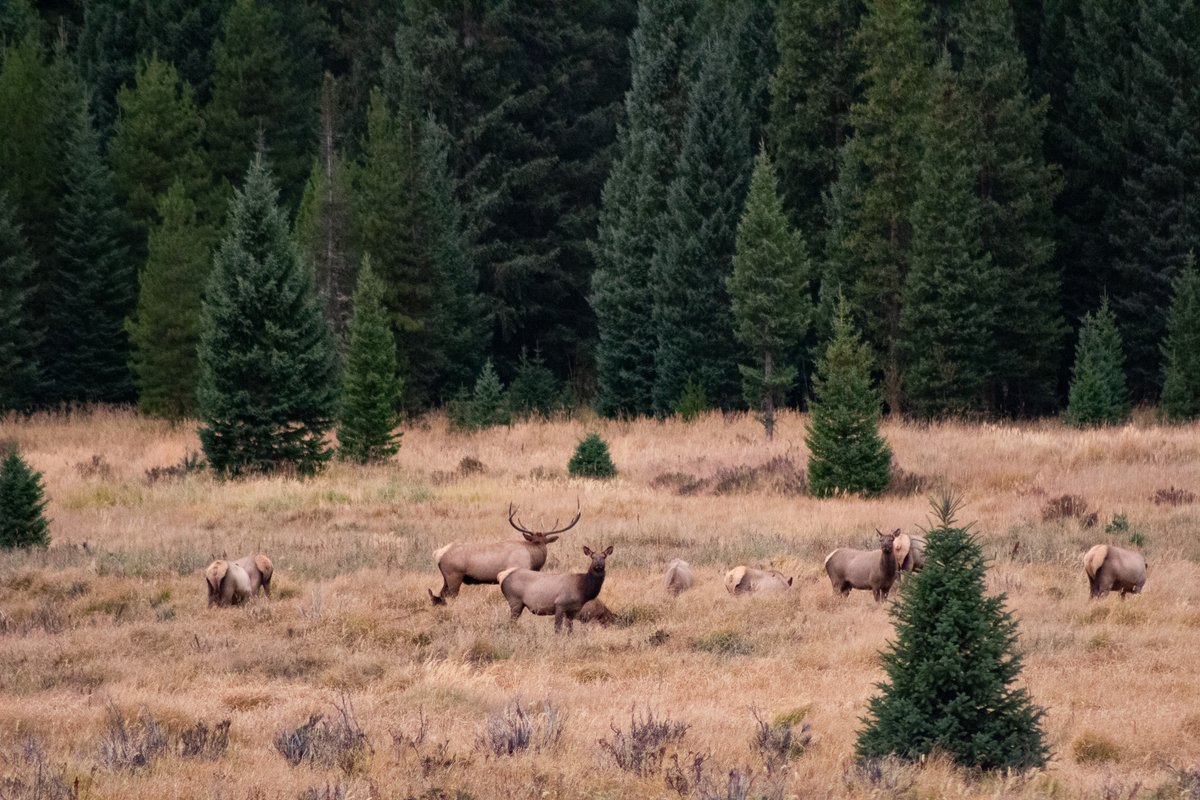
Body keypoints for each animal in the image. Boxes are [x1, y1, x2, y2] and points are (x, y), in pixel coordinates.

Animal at [428, 502, 580, 605]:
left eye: (542, 541)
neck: (532, 558)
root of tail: (438, 553)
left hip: (446, 577)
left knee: (441, 594)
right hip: (454, 575)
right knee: (450, 595)